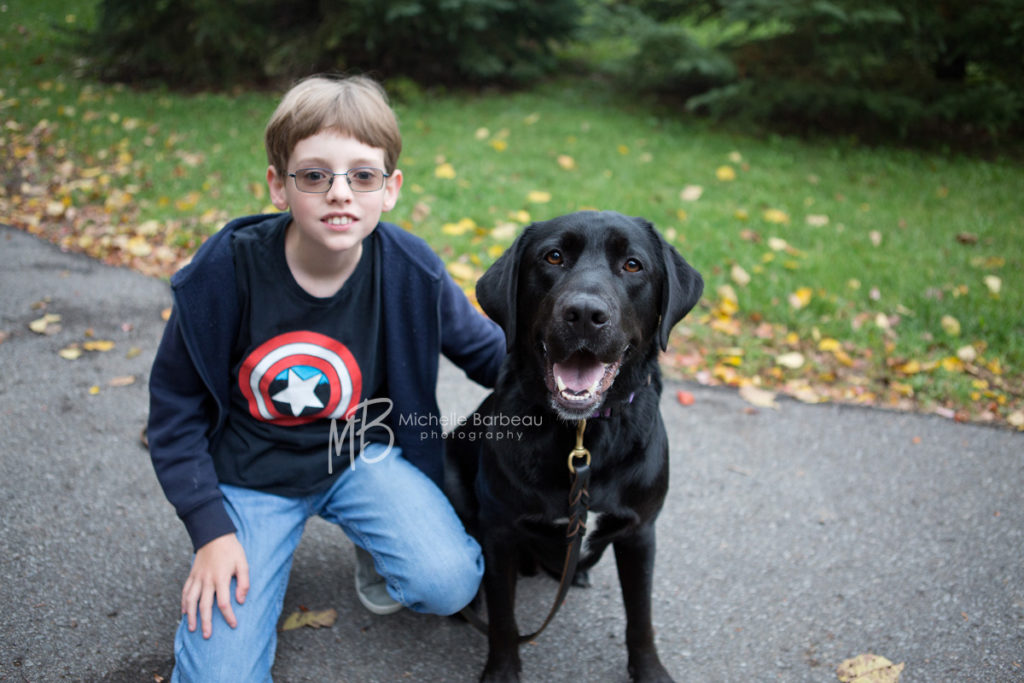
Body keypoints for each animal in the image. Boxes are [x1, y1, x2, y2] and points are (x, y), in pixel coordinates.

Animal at [448, 210, 704, 679]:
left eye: (633, 265)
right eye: (553, 257)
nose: (585, 313)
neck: (581, 437)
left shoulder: (640, 532)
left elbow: (640, 617)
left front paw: (650, 671)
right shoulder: (499, 531)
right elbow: (504, 617)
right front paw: (502, 670)